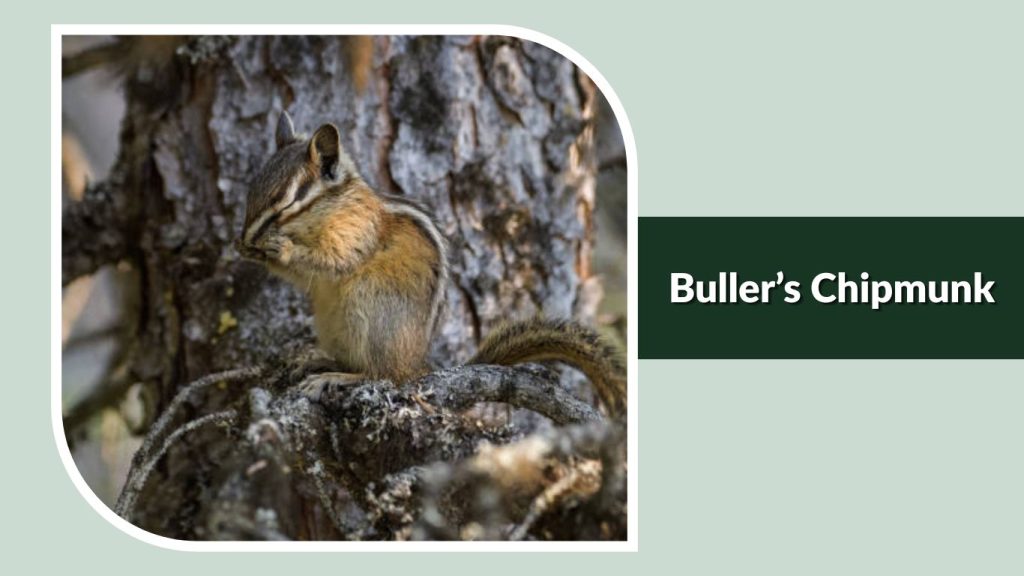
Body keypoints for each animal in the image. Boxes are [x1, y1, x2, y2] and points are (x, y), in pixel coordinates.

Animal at [237, 112, 626, 417]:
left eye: (287, 203)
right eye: (251, 191)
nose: (244, 239)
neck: (336, 204)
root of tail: (418, 365)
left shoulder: (357, 232)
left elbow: (336, 261)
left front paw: (281, 248)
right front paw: (251, 250)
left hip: (369, 312)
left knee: (386, 376)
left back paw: (337, 377)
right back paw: (319, 362)